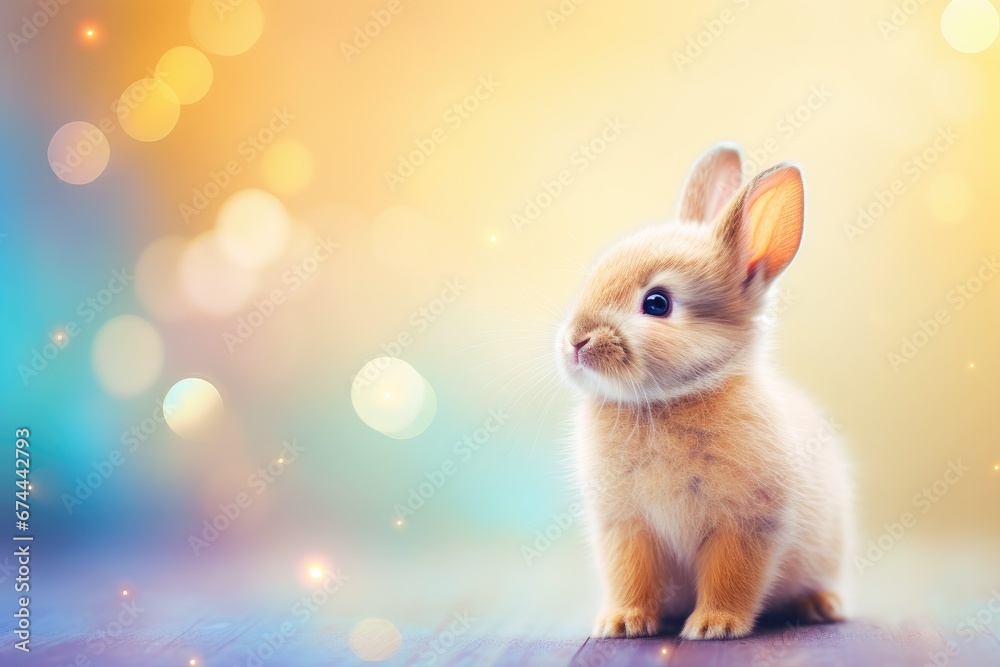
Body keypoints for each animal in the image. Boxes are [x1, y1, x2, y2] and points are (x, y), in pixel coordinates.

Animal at [556, 143, 851, 640]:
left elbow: (731, 575)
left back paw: (821, 606)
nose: (577, 341)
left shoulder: (746, 524)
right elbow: (630, 574)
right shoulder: (626, 526)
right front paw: (622, 623)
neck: (670, 399)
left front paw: (714, 626)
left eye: (657, 303)